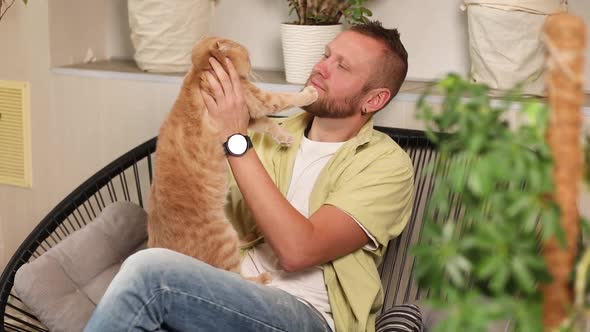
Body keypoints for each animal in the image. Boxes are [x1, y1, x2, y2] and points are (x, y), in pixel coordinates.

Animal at [147, 36, 320, 274]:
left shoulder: (247, 116)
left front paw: (284, 136)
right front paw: (309, 93)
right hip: (224, 237)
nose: (252, 64)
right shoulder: (257, 98)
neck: (199, 72)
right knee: (234, 274)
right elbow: (283, 98)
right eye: (247, 55)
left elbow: (267, 123)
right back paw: (263, 277)